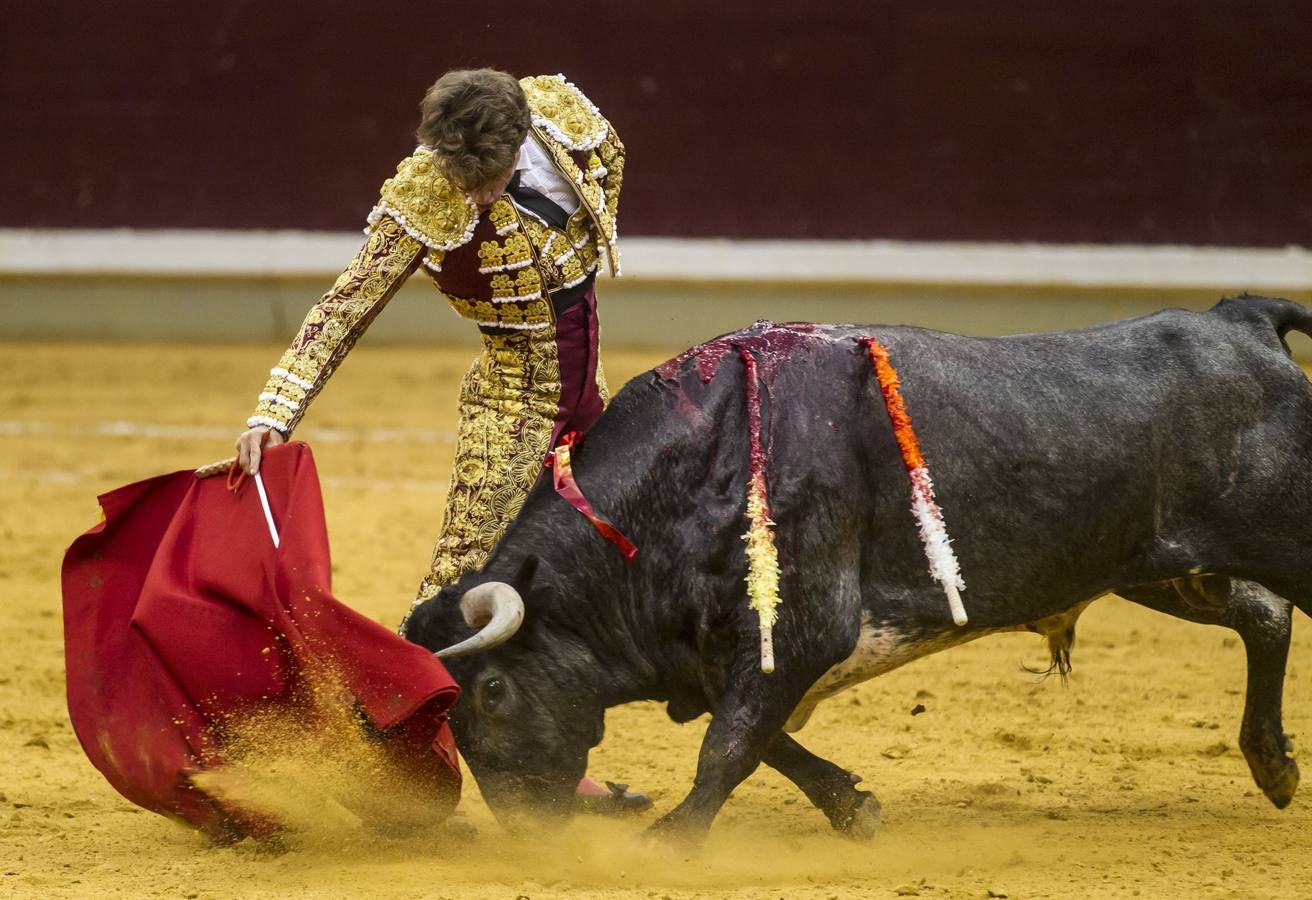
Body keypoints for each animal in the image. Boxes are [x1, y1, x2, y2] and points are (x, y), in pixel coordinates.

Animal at [404, 296, 1306, 844]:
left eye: (493, 691)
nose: (528, 832)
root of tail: (1240, 321)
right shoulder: (720, 654)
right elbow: (759, 735)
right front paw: (855, 808)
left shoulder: (801, 629)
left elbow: (730, 742)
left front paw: (672, 840)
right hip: (1156, 567)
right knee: (1264, 615)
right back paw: (1274, 767)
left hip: (1272, 538)